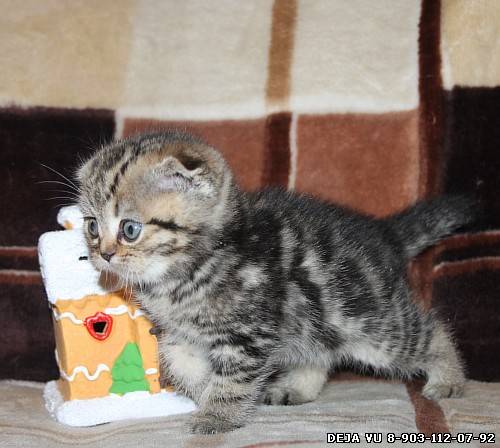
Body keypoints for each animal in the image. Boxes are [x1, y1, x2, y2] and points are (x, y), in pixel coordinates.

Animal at [77, 131, 473, 434]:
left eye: (130, 229)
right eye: (92, 226)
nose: (104, 255)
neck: (186, 273)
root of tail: (382, 232)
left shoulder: (247, 335)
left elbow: (233, 379)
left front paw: (217, 415)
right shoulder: (177, 334)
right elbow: (185, 367)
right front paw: (203, 394)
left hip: (373, 322)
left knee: (430, 332)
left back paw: (449, 378)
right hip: (321, 318)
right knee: (322, 351)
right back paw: (298, 388)